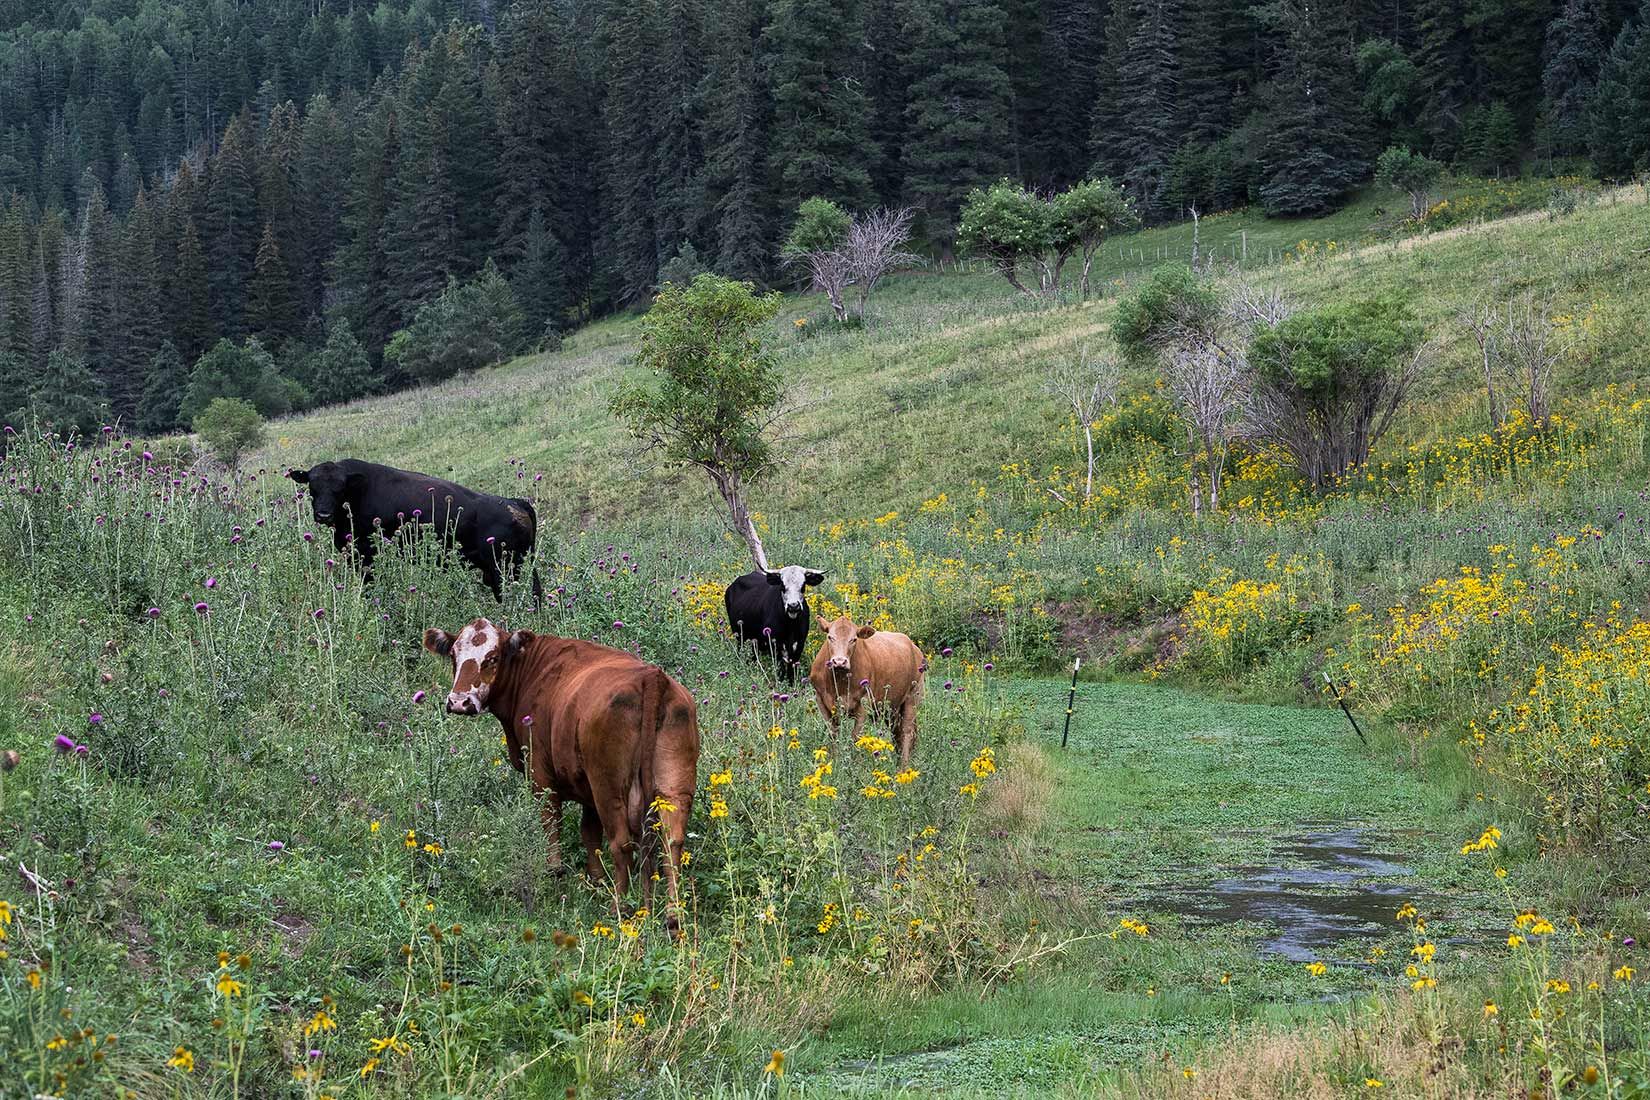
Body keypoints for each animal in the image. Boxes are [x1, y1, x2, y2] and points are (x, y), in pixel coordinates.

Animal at [288, 459, 542, 603]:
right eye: (312, 486)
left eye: (340, 488)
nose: (323, 515)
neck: (358, 491)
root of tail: (515, 503)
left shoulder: (366, 557)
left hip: (506, 569)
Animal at [422, 618, 699, 929]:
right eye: (453, 655)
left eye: (492, 658)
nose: (459, 702)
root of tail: (651, 677)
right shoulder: (587, 790)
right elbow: (590, 833)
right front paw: (596, 881)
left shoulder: (541, 778)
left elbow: (551, 827)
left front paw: (556, 875)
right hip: (674, 788)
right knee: (672, 842)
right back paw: (673, 917)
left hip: (609, 787)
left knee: (622, 844)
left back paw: (621, 909)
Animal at [808, 614, 925, 766]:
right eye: (830, 637)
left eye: (854, 639)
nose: (839, 662)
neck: (838, 684)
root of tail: (913, 646)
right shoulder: (821, 701)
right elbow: (833, 736)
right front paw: (835, 762)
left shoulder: (863, 706)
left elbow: (856, 737)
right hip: (891, 708)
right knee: (897, 733)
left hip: (913, 697)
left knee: (907, 732)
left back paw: (903, 767)